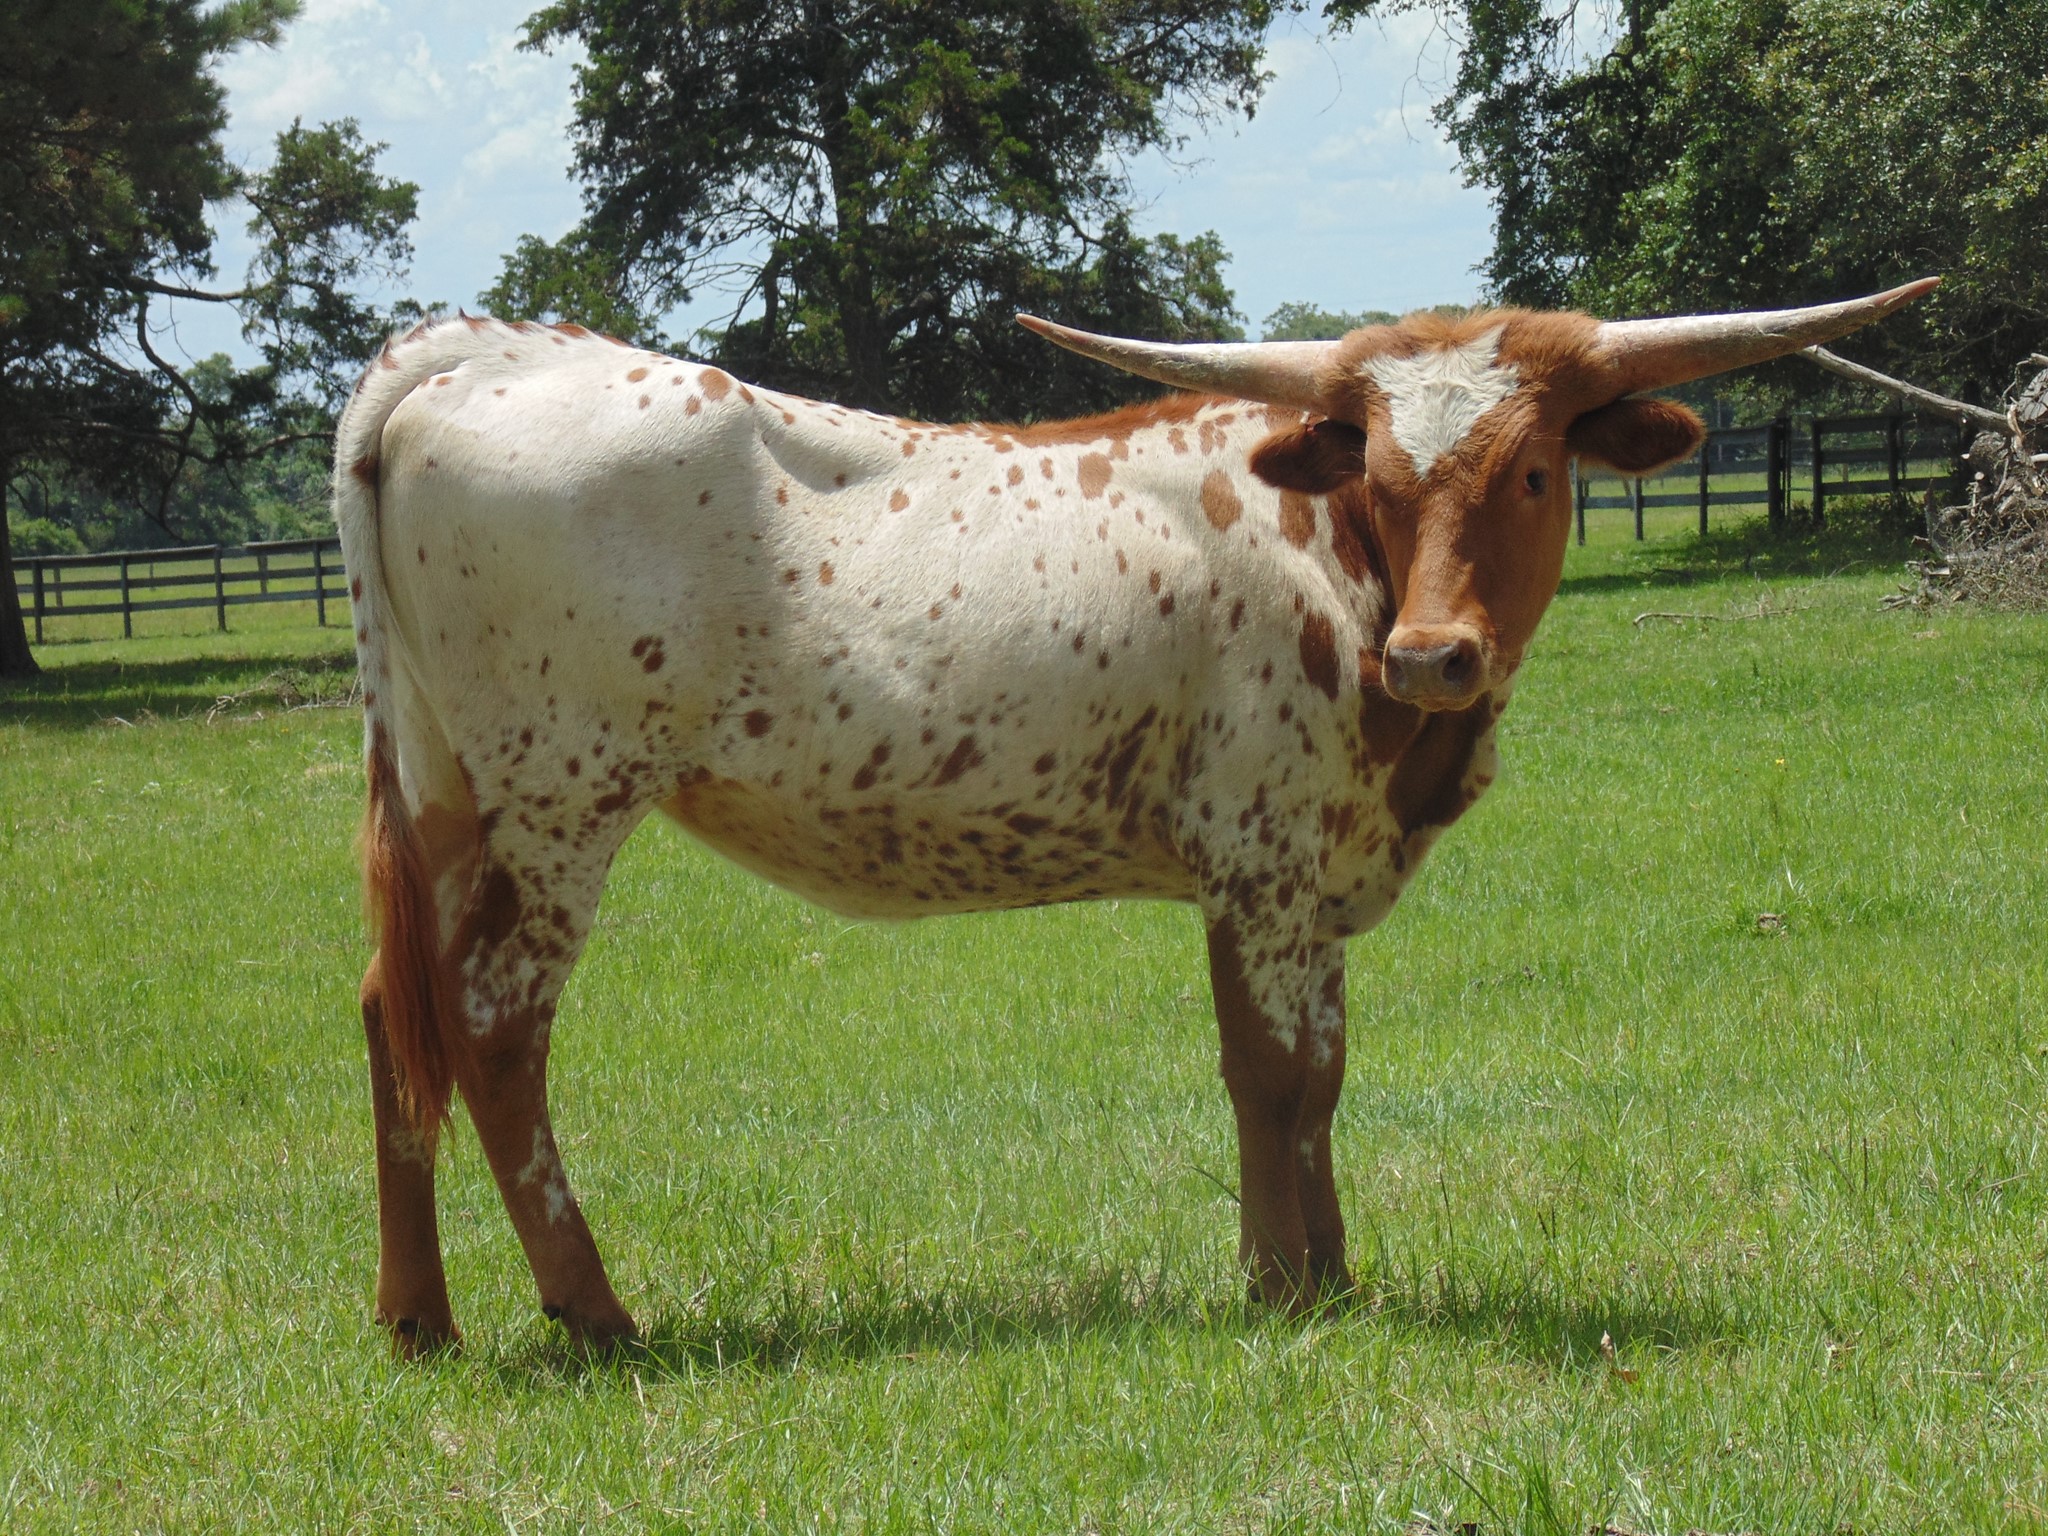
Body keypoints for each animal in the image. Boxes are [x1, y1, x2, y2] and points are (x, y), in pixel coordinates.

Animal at [335, 279, 1935, 1353]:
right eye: (1384, 474)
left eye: (1533, 470)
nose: (1433, 657)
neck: (1333, 562)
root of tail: (471, 352)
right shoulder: (1260, 858)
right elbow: (1271, 1078)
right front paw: (1284, 1289)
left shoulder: (1308, 877)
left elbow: (1323, 1077)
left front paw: (1331, 1274)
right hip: (563, 793)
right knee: (494, 1026)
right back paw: (596, 1314)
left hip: (446, 793)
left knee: (391, 1010)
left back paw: (421, 1321)